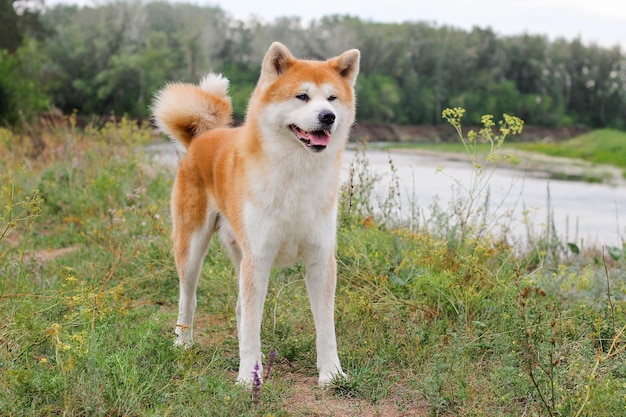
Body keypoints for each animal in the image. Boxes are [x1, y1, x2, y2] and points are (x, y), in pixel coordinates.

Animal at [149, 43, 358, 386]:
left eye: (332, 98)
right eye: (302, 96)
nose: (327, 117)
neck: (295, 175)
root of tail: (203, 136)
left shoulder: (320, 258)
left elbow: (325, 327)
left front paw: (331, 373)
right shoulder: (258, 257)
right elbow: (251, 325)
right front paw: (247, 377)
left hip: (240, 253)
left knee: (239, 308)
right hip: (192, 248)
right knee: (188, 298)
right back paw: (183, 342)